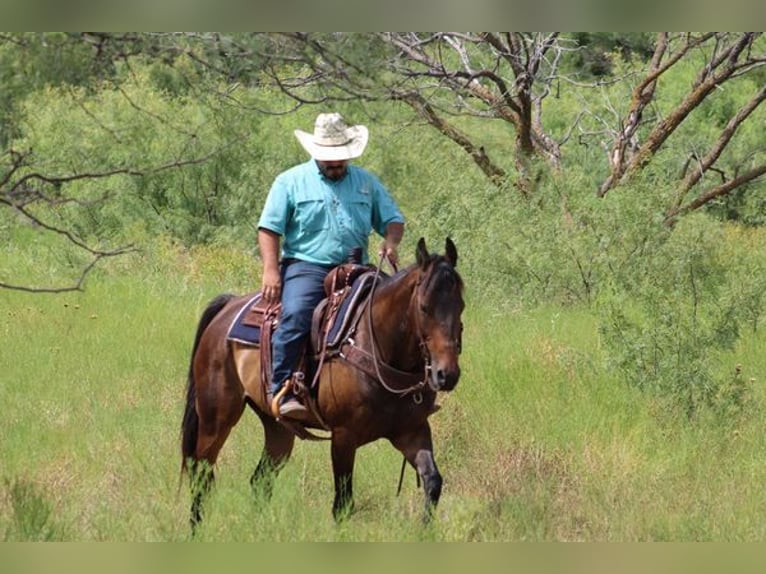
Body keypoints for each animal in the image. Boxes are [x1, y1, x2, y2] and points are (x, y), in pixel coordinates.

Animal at [182, 236, 468, 532]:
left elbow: (433, 482)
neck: (377, 345)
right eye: (424, 308)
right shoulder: (344, 436)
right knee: (200, 472)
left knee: (260, 479)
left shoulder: (412, 431)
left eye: (461, 306)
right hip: (216, 418)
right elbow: (343, 503)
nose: (446, 374)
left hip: (277, 428)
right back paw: (196, 531)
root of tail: (226, 309)